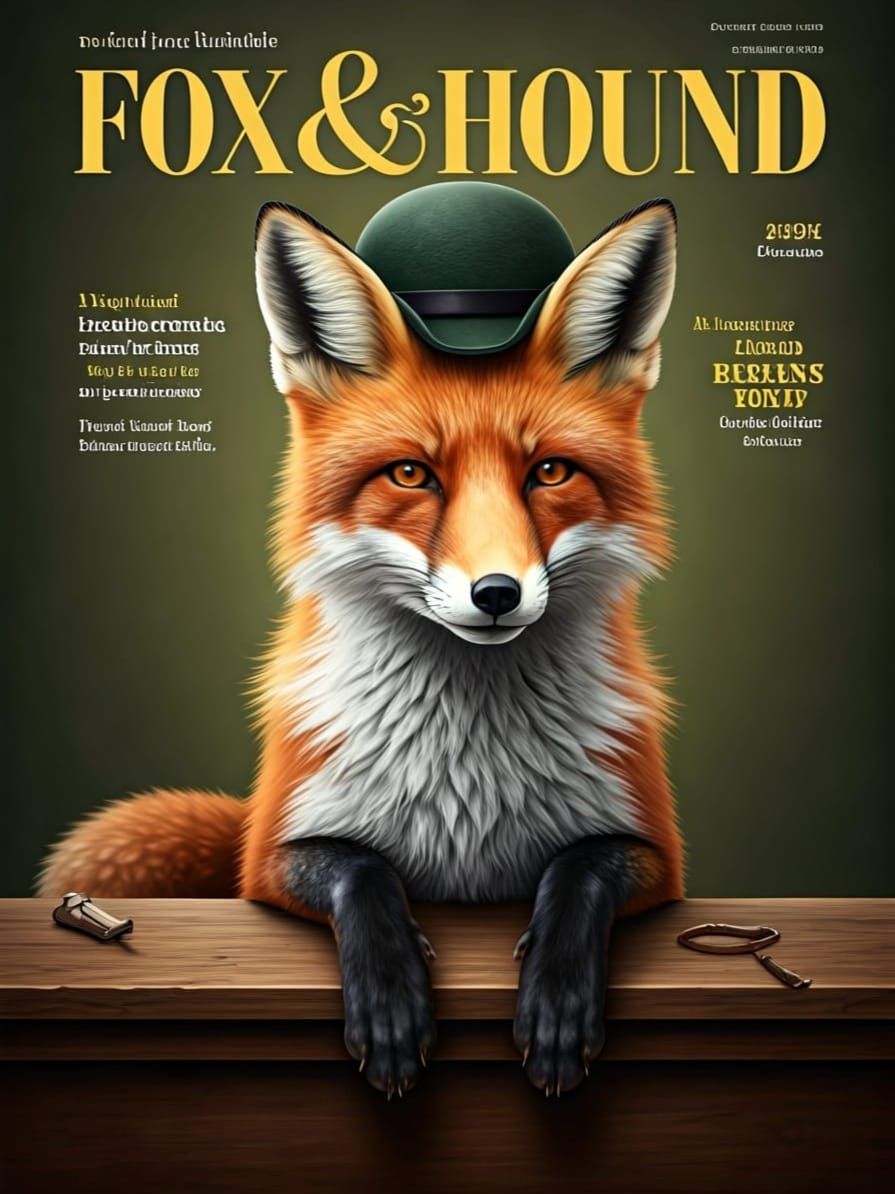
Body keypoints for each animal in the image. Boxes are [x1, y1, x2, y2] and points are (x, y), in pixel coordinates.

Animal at [39, 186, 683, 1099]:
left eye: (549, 472)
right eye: (411, 474)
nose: (496, 594)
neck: (469, 769)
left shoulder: (652, 849)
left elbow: (578, 870)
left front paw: (557, 1000)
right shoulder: (271, 854)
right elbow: (362, 869)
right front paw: (388, 1002)